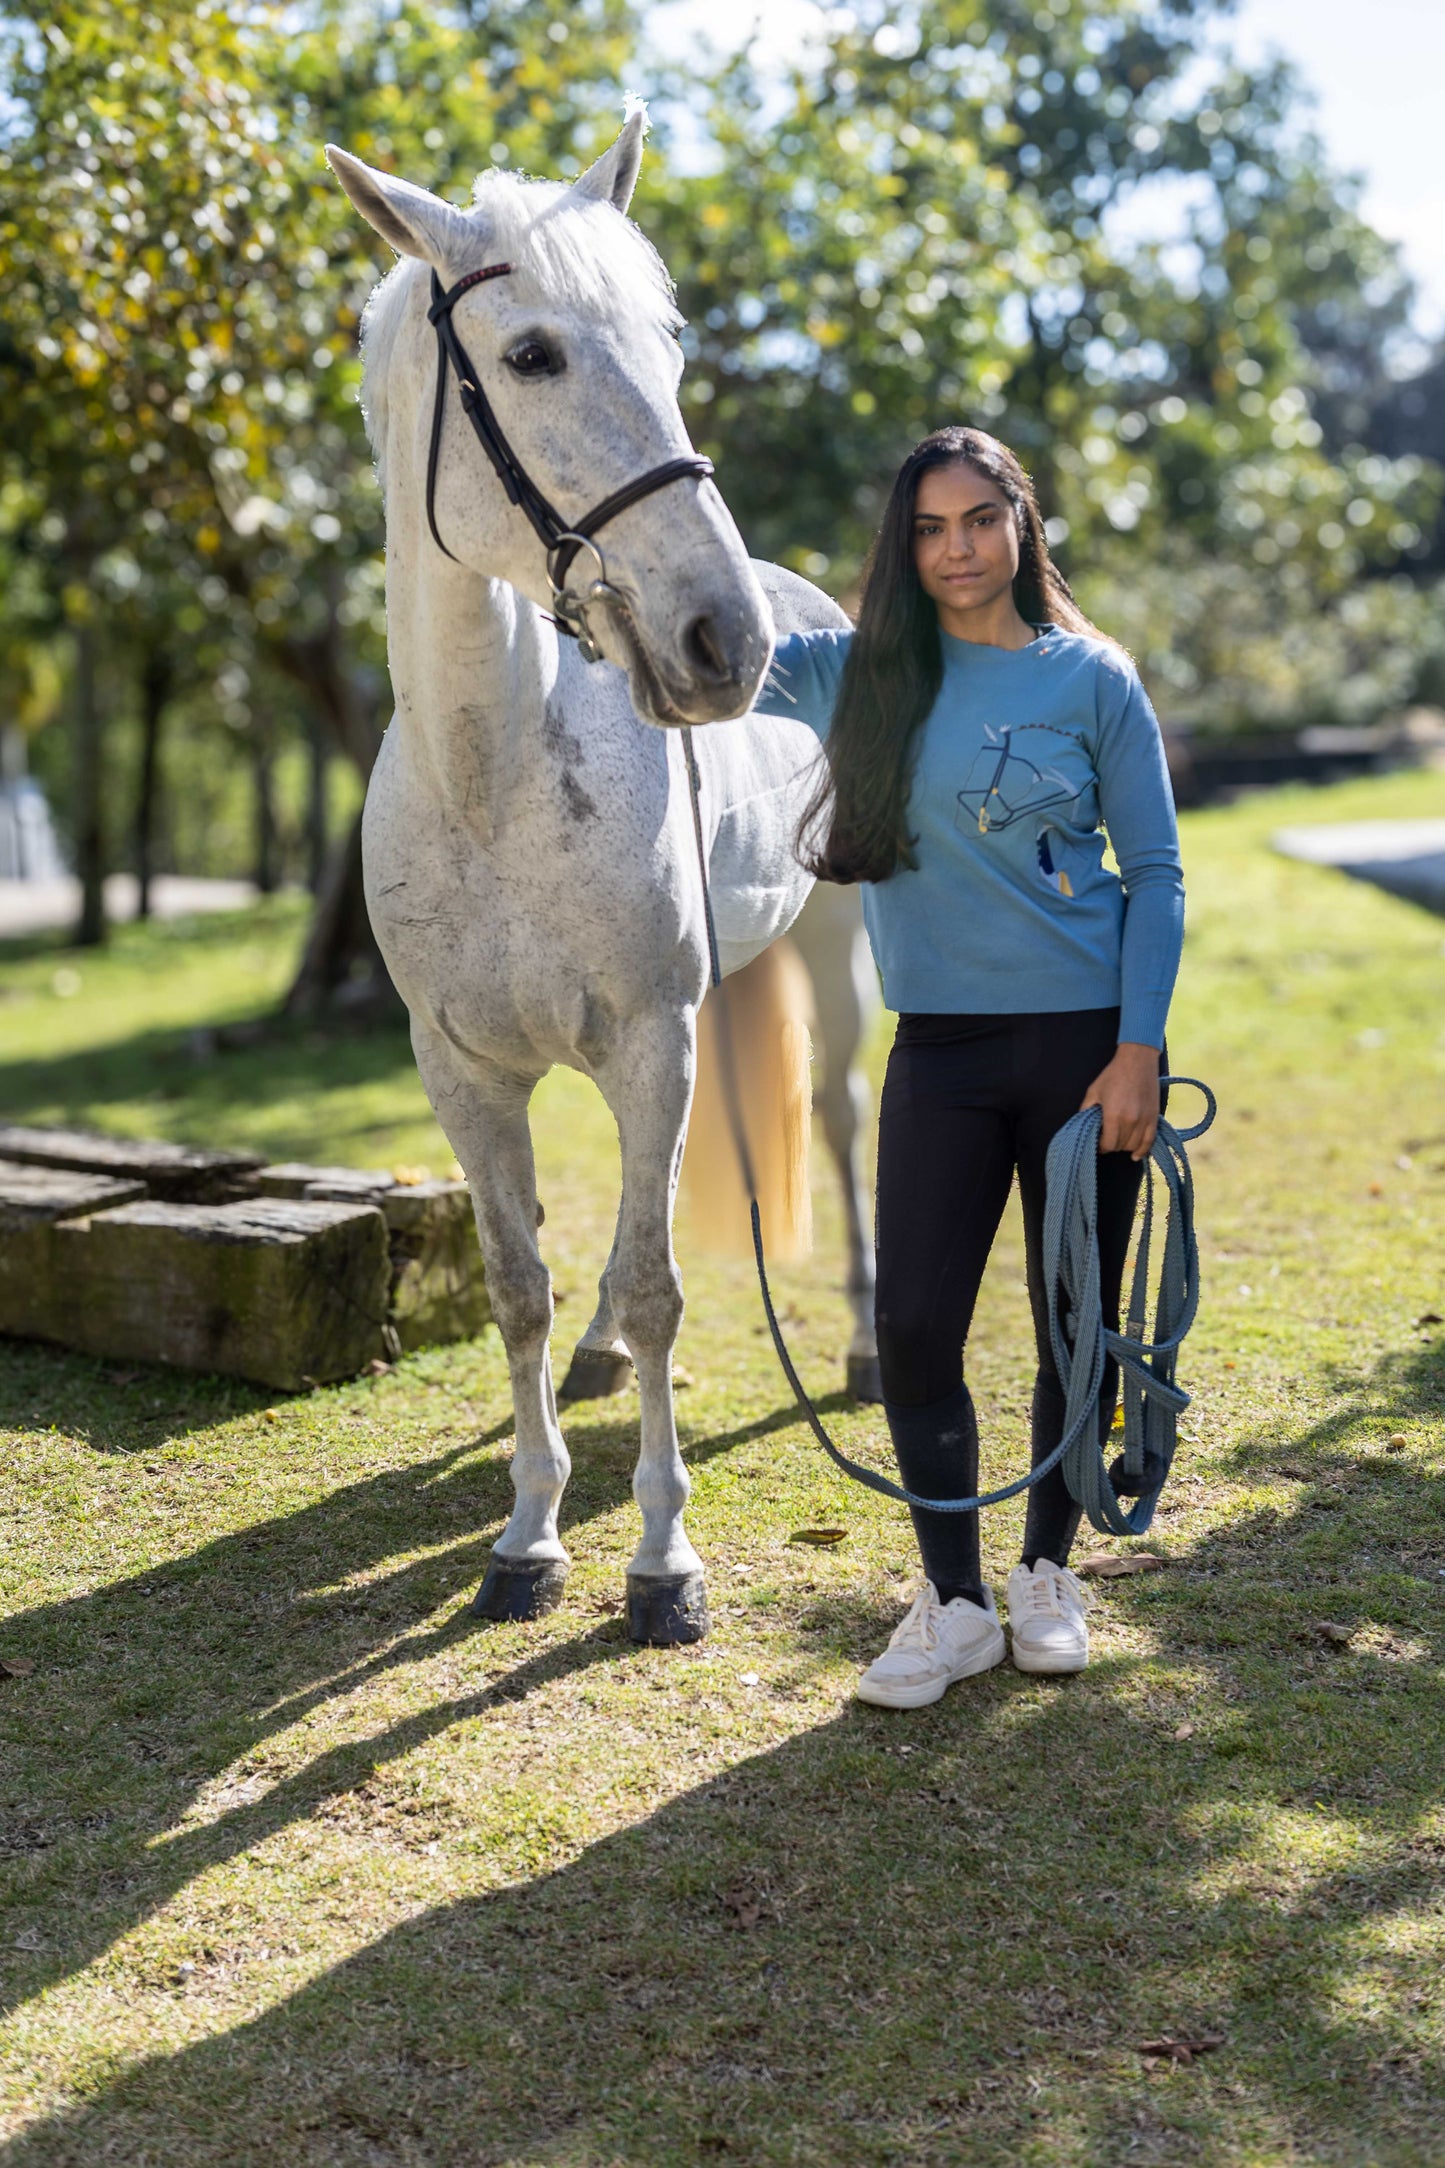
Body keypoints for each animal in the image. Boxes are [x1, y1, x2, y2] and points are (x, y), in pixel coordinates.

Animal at [327, 112, 878, 1647]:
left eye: (672, 344)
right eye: (530, 355)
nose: (724, 641)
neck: (492, 781)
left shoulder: (653, 1042)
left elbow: (657, 1282)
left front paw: (661, 1561)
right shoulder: (462, 1071)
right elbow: (522, 1282)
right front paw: (527, 1534)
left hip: (829, 961)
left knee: (843, 1117)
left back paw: (870, 1344)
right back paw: (591, 1368)